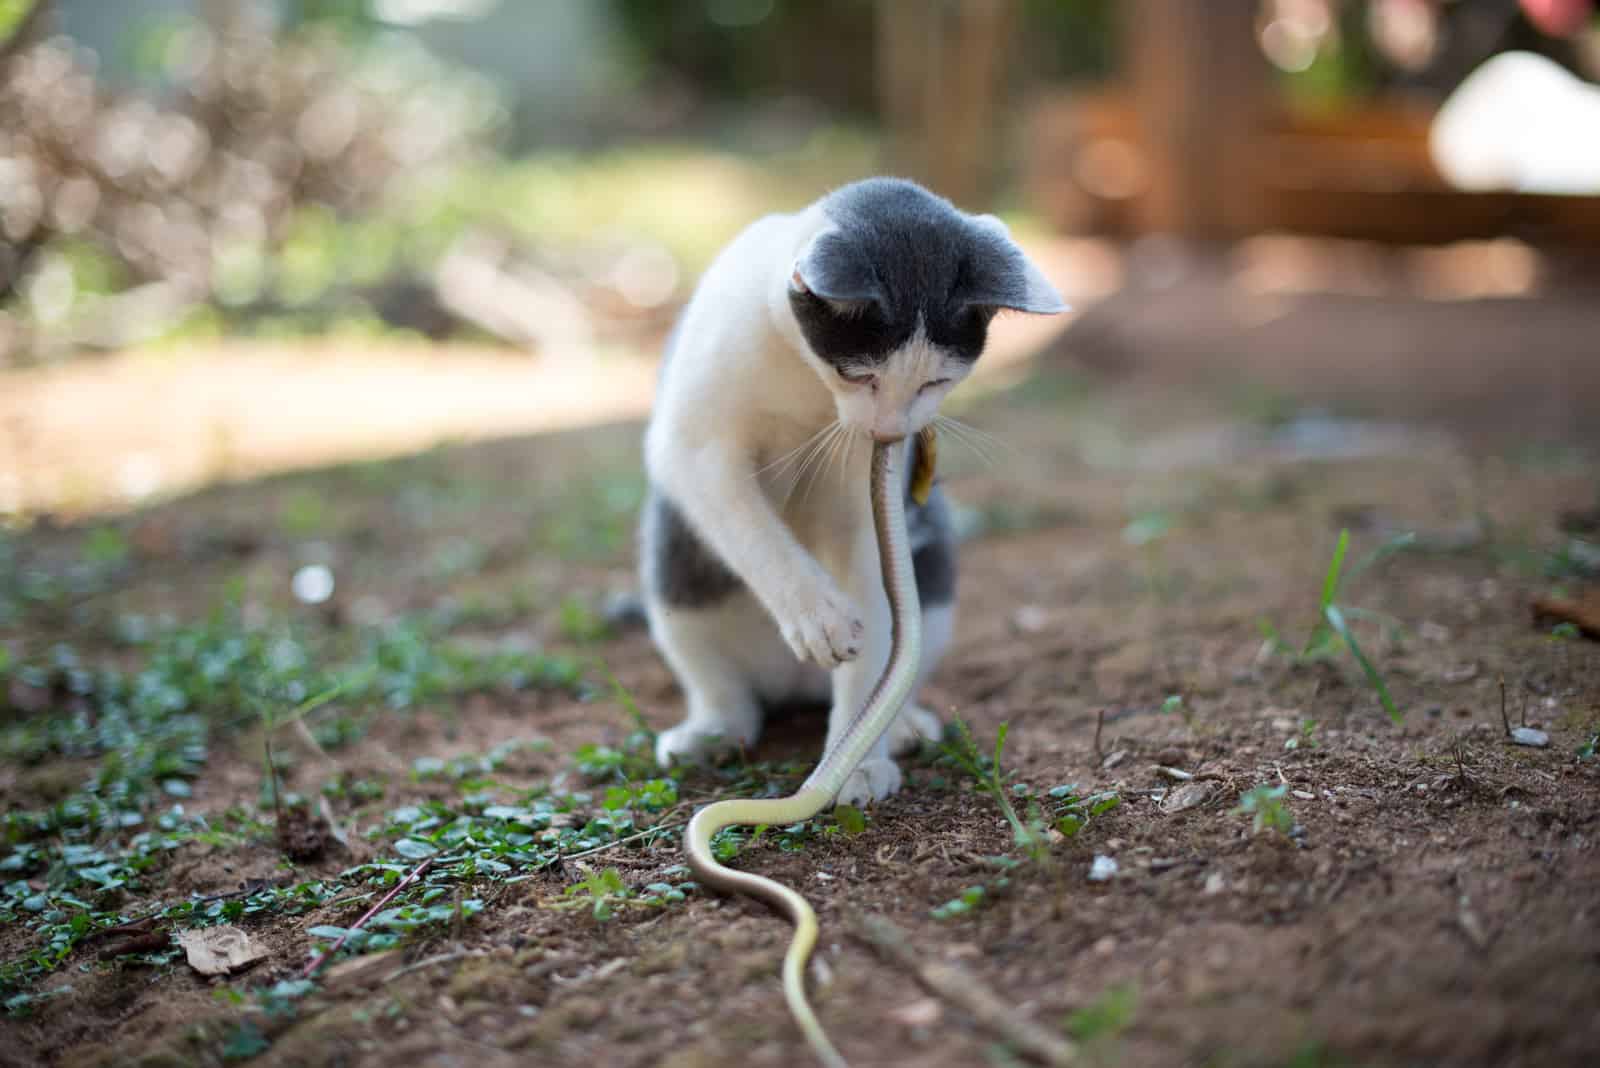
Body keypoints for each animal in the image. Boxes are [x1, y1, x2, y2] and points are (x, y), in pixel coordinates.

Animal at [636, 177, 1062, 799]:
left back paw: (899, 726)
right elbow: (745, 519)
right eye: (859, 374)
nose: (889, 429)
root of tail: (795, 686)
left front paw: (855, 763)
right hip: (675, 570)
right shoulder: (694, 445)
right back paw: (711, 732)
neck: (804, 379)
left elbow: (871, 585)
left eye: (936, 381)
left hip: (932, 572)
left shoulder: (864, 490)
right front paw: (820, 615)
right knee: (715, 672)